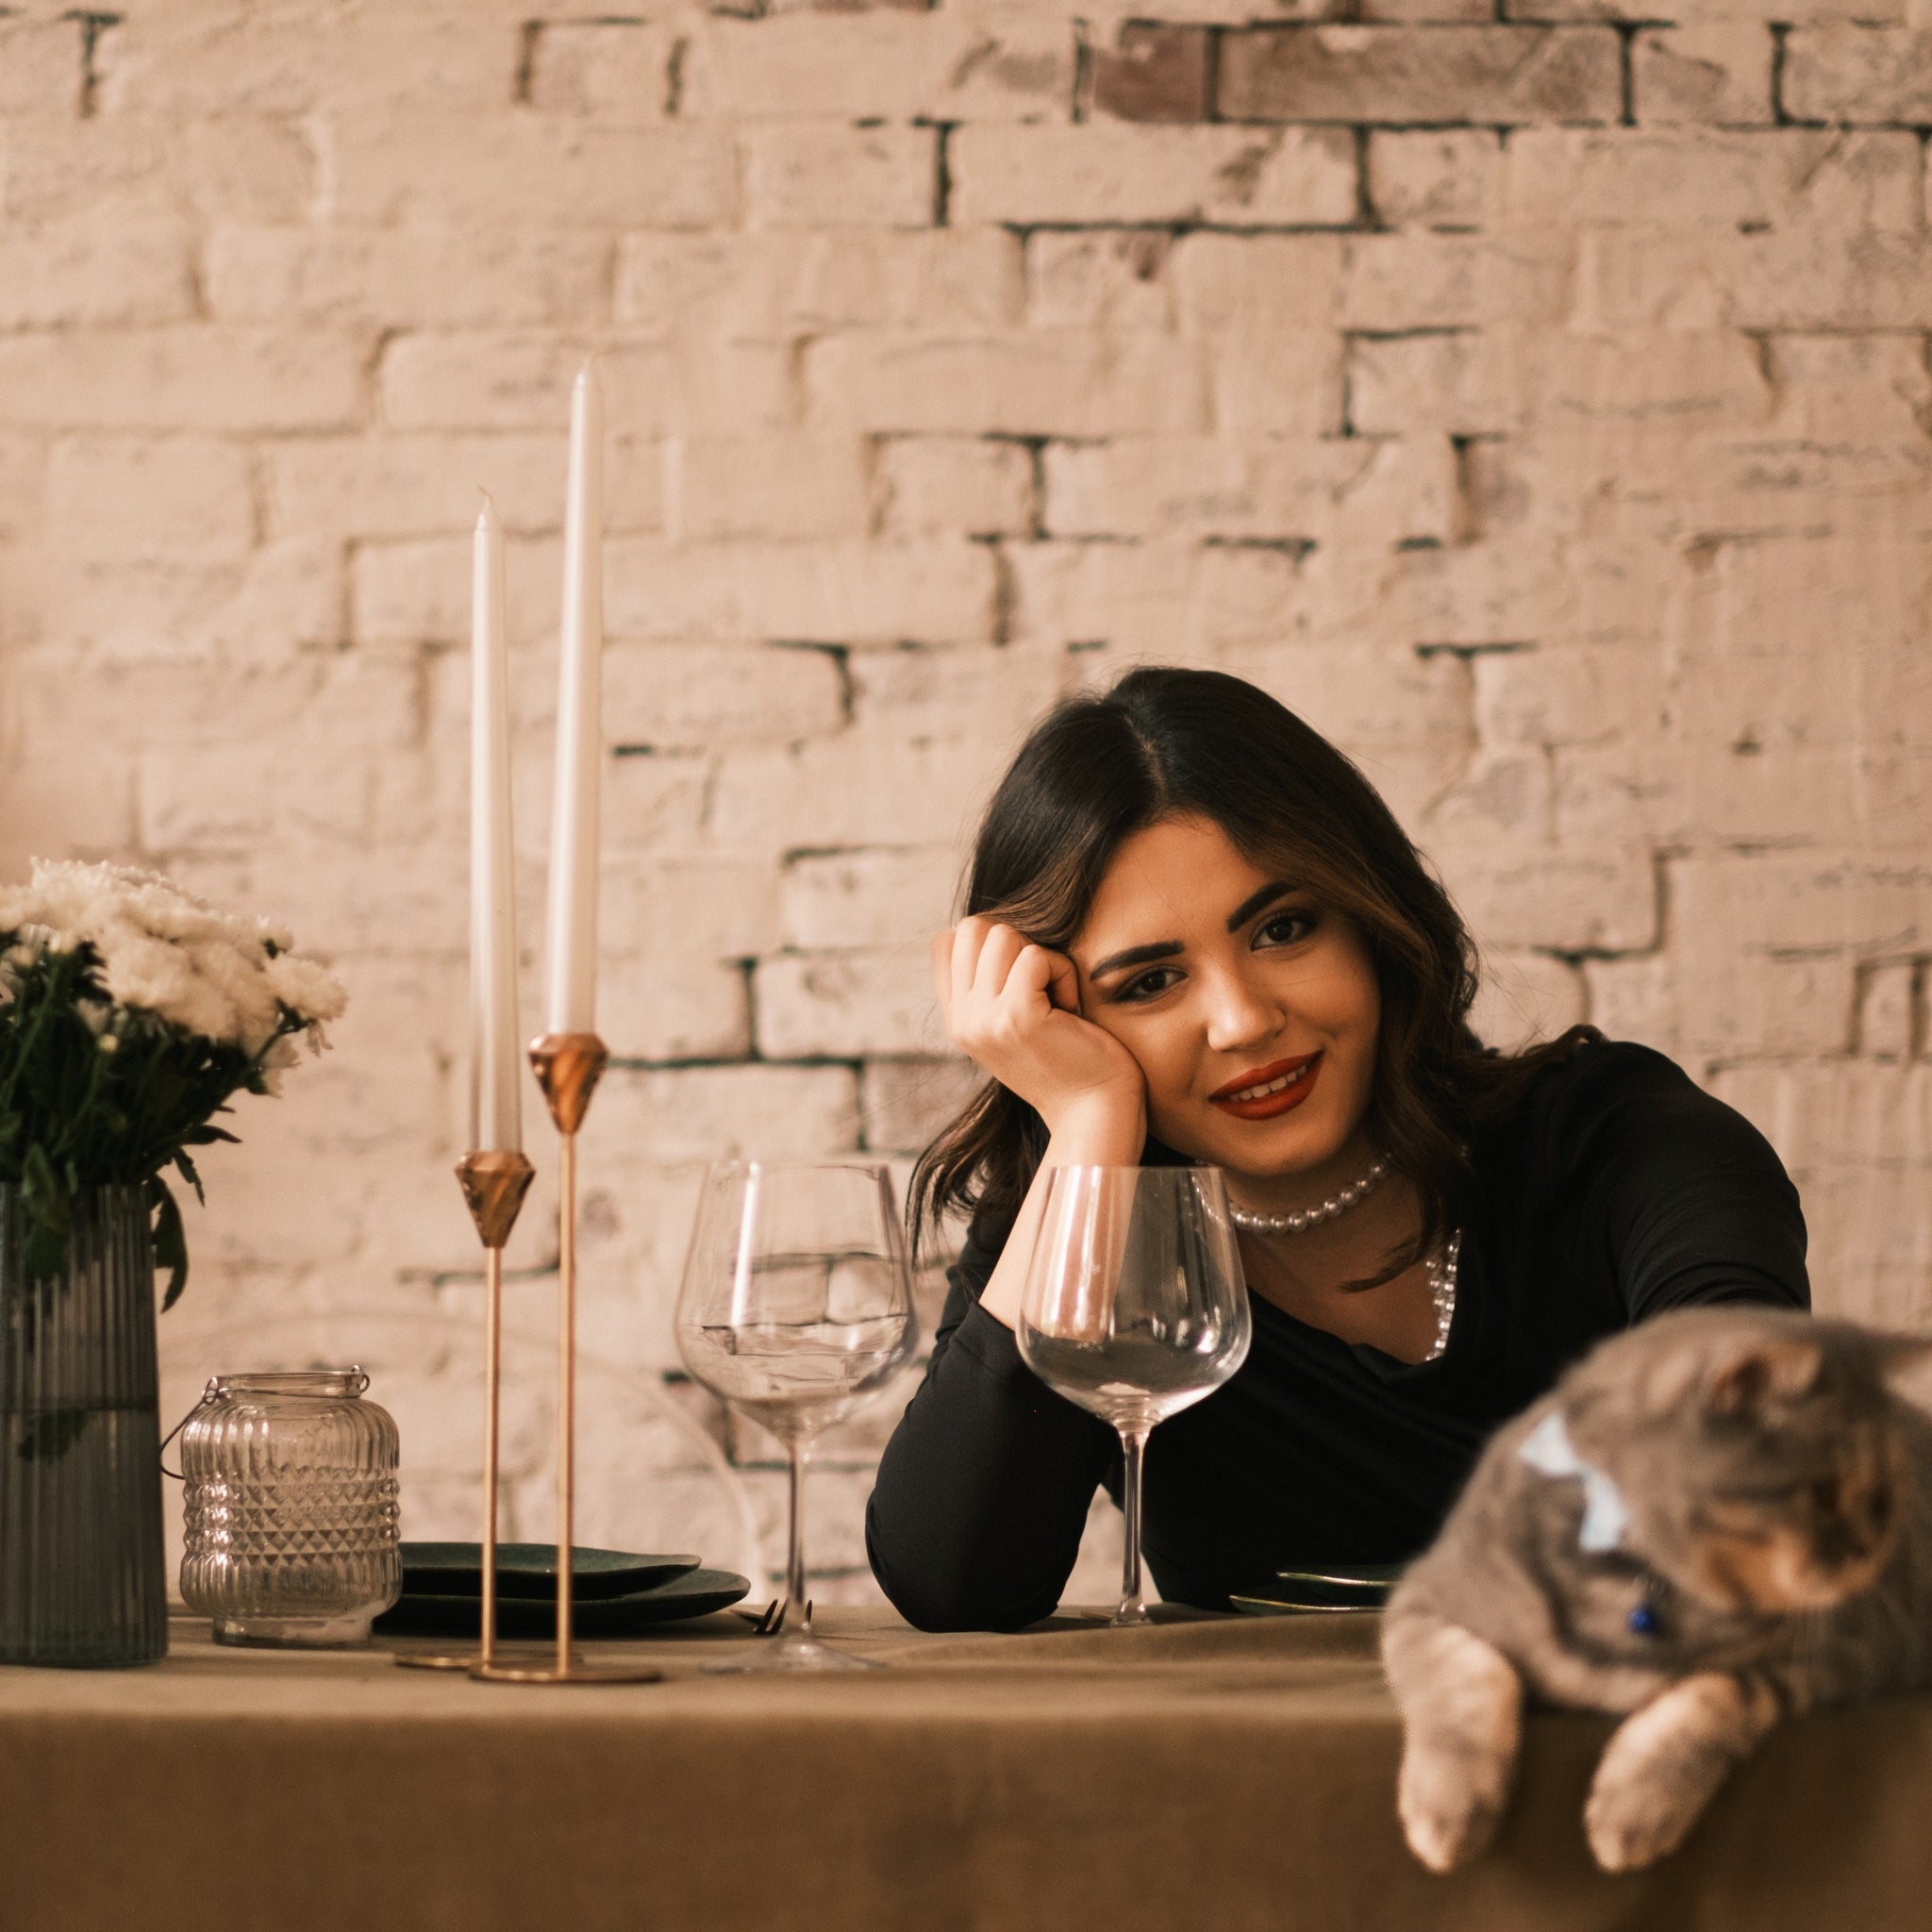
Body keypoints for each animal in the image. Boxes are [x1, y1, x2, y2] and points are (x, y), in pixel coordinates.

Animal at [1383, 1306, 1932, 1877]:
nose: (1868, 1553)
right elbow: (1462, 1683)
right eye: (1822, 1493)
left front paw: (1635, 1809)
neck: (1636, 1580)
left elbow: (1715, 1697)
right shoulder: (1424, 1599)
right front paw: (1448, 1807)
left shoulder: (1852, 1653)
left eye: (1887, 1500)